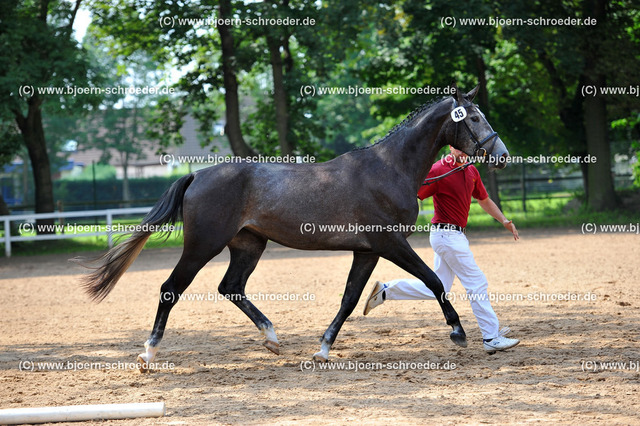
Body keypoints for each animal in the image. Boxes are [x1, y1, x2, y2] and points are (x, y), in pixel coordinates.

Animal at [79, 85, 510, 368]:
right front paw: (458, 333)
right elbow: (434, 281)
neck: (389, 169)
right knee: (171, 289)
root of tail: (197, 174)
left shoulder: (367, 251)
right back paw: (148, 353)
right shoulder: (391, 244)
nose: (502, 154)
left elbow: (350, 298)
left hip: (249, 245)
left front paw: (322, 349)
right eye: (473, 117)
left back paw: (271, 339)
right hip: (203, 246)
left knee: (230, 287)